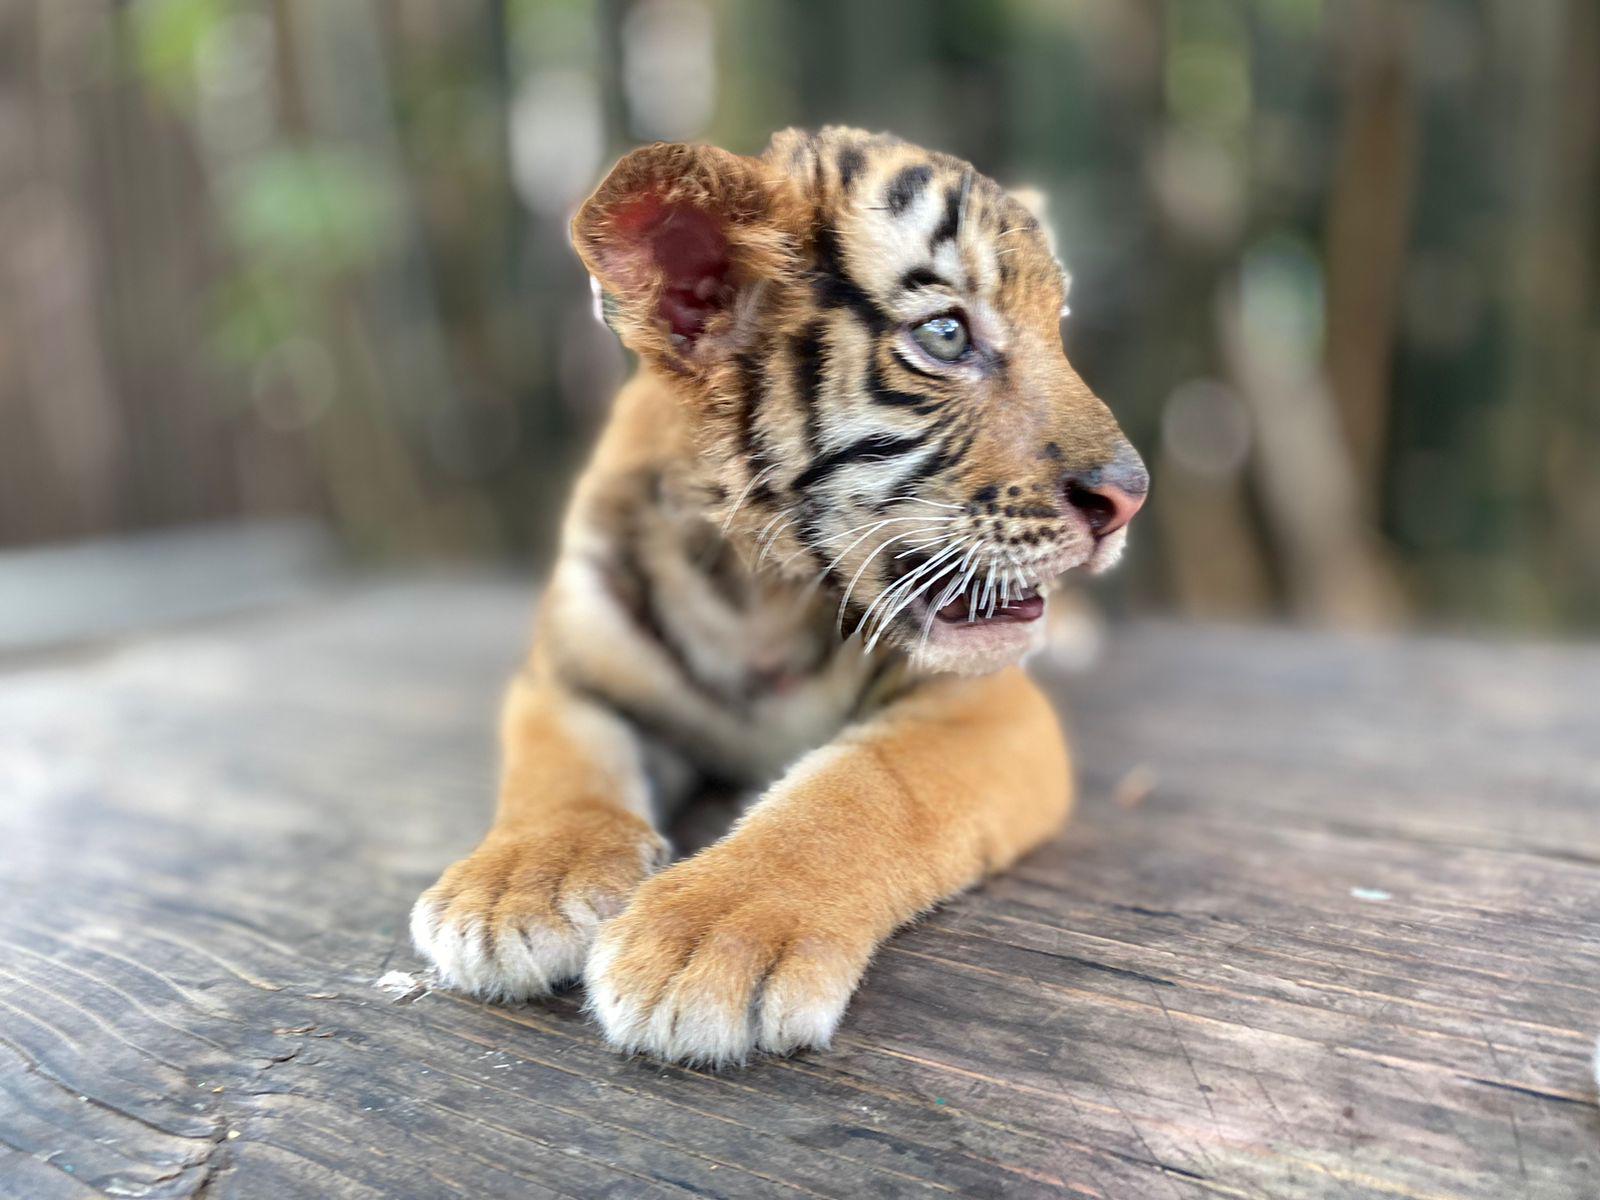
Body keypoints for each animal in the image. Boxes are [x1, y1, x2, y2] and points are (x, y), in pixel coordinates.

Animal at [409, 126, 1148, 1067]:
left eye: (1059, 331)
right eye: (947, 335)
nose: (1131, 496)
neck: (754, 591)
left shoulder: (980, 705)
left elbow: (861, 790)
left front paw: (708, 940)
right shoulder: (565, 679)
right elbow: (557, 774)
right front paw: (512, 892)